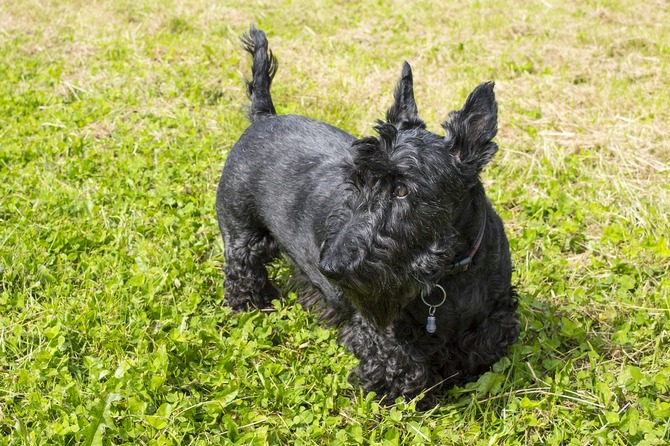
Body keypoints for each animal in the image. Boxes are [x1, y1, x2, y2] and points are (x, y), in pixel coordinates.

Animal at [218, 26, 524, 406]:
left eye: (402, 190)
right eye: (357, 180)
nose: (329, 268)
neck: (449, 273)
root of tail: (264, 116)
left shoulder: (495, 314)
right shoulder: (380, 328)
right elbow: (403, 364)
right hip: (240, 232)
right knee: (242, 270)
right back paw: (251, 306)